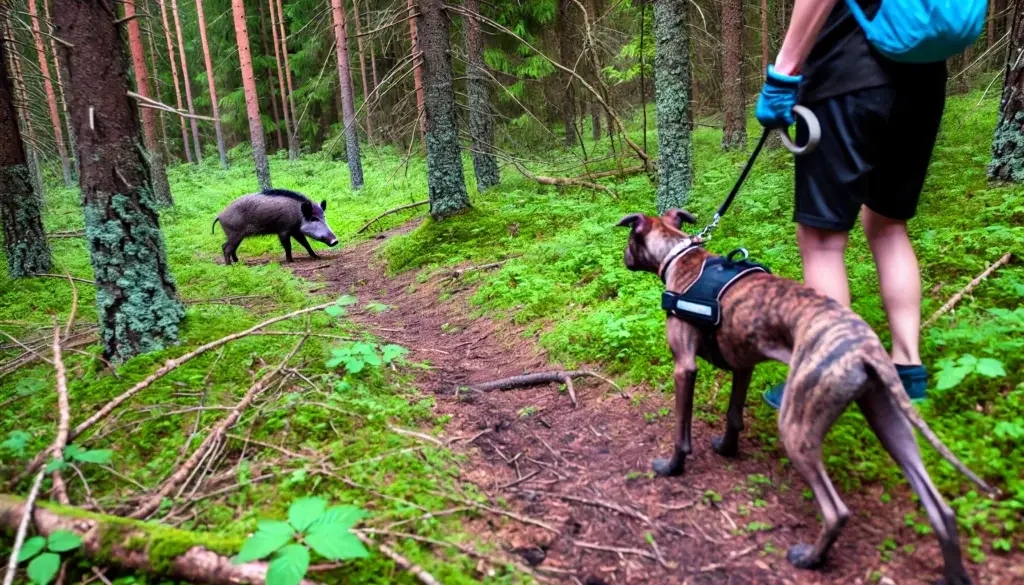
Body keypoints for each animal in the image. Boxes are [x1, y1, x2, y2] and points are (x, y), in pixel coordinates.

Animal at [618, 207, 995, 581]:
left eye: (628, 239)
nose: (624, 257)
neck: (679, 254)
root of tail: (866, 349)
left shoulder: (684, 367)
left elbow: (681, 432)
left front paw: (671, 466)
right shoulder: (743, 365)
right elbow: (733, 416)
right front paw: (726, 448)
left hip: (796, 427)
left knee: (836, 511)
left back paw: (810, 558)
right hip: (890, 423)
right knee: (941, 510)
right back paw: (953, 573)